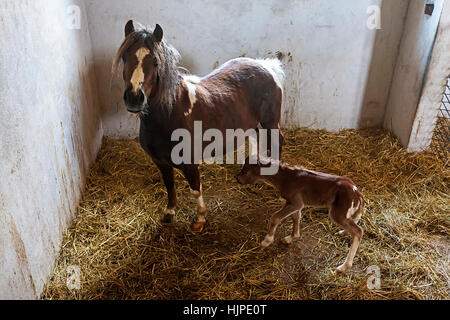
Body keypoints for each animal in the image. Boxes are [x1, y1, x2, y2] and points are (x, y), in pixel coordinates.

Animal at [113, 21, 284, 232]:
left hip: (271, 122)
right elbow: (169, 185)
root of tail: (267, 66)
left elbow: (195, 189)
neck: (170, 114)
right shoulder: (160, 162)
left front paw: (200, 219)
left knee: (276, 143)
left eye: (155, 61)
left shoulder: (189, 163)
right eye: (124, 57)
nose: (135, 97)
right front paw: (169, 213)